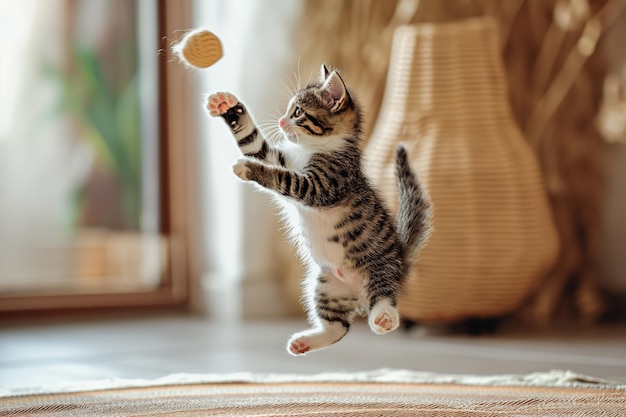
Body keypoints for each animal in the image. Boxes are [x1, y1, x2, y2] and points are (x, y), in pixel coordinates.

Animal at [205, 65, 428, 354]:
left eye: (298, 111)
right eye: (290, 109)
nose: (281, 121)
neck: (316, 147)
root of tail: (400, 255)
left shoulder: (322, 184)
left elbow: (284, 178)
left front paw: (249, 169)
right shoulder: (282, 158)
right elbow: (255, 145)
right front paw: (228, 106)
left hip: (380, 266)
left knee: (384, 293)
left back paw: (384, 318)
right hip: (325, 286)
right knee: (338, 327)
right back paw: (306, 341)